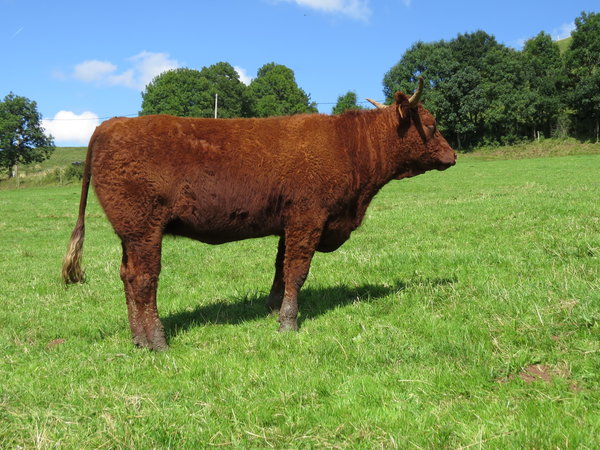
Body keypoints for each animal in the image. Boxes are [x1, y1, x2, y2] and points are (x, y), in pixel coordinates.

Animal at [63, 79, 454, 350]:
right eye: (432, 125)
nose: (452, 156)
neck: (350, 146)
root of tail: (110, 125)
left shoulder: (289, 223)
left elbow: (280, 270)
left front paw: (271, 309)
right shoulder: (308, 218)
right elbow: (297, 272)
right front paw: (288, 324)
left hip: (129, 234)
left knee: (127, 276)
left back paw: (138, 340)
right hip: (144, 229)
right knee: (145, 280)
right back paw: (157, 341)